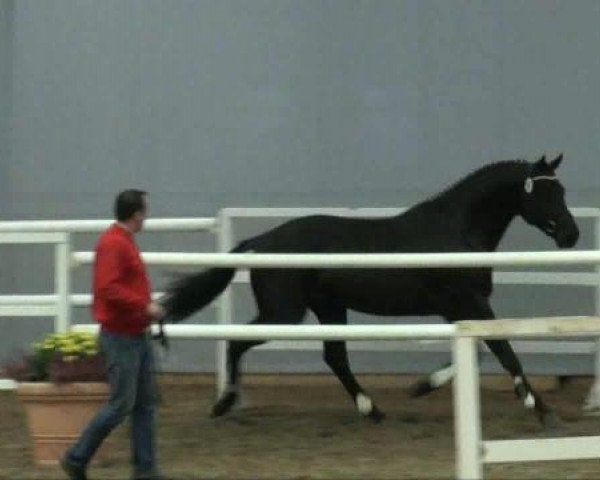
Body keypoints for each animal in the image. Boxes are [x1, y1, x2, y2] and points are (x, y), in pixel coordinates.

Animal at [162, 155, 580, 428]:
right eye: (545, 194)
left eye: (562, 189)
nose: (571, 235)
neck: (456, 230)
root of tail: (262, 241)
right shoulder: (470, 303)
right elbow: (506, 353)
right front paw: (541, 409)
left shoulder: (460, 309)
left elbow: (479, 355)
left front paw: (421, 386)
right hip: (284, 313)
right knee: (237, 342)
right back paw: (223, 404)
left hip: (329, 308)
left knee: (335, 358)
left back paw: (372, 409)